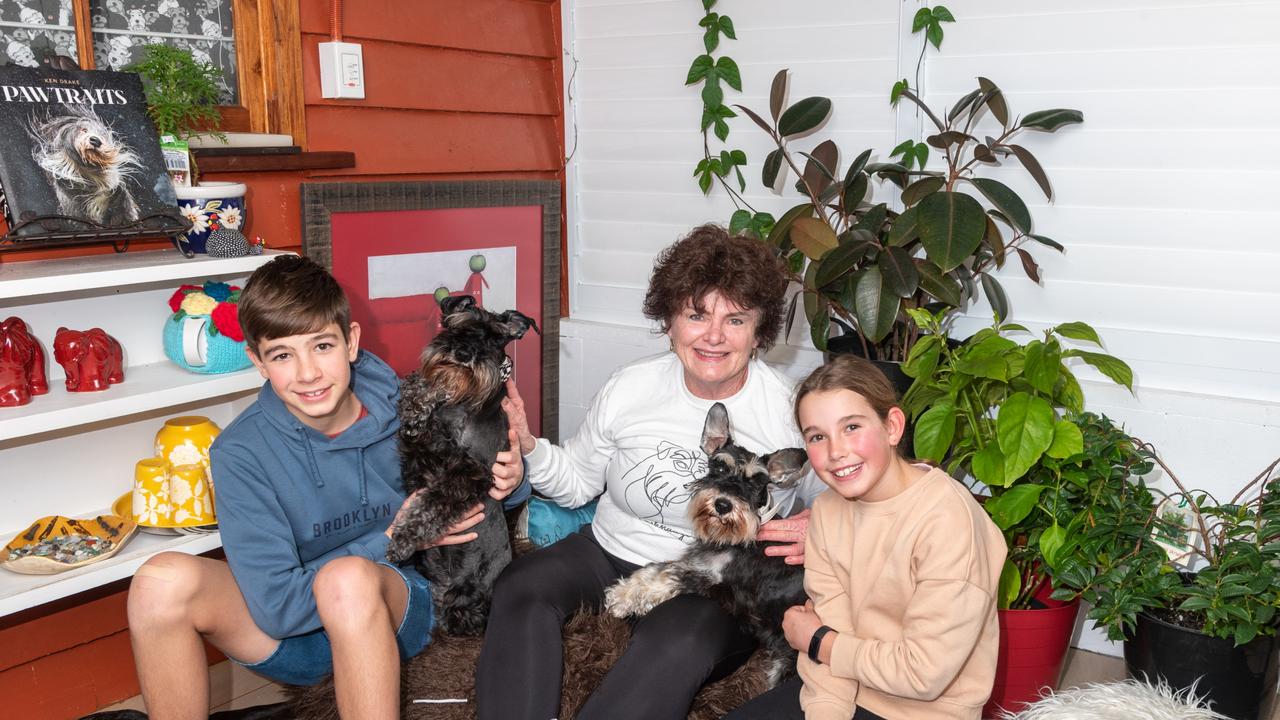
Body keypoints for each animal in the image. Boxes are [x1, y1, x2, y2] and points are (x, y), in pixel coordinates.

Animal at [384, 292, 535, 632]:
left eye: (495, 338)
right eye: (459, 324)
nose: (464, 353)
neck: (462, 407)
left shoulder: (469, 474)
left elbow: (430, 505)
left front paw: (402, 540)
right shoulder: (418, 452)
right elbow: (418, 398)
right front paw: (421, 399)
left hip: (468, 607)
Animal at [604, 399, 803, 686]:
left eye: (757, 483)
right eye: (719, 467)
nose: (723, 505)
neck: (735, 539)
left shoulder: (715, 582)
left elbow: (668, 578)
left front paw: (630, 600)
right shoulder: (695, 561)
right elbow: (655, 569)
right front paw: (622, 594)